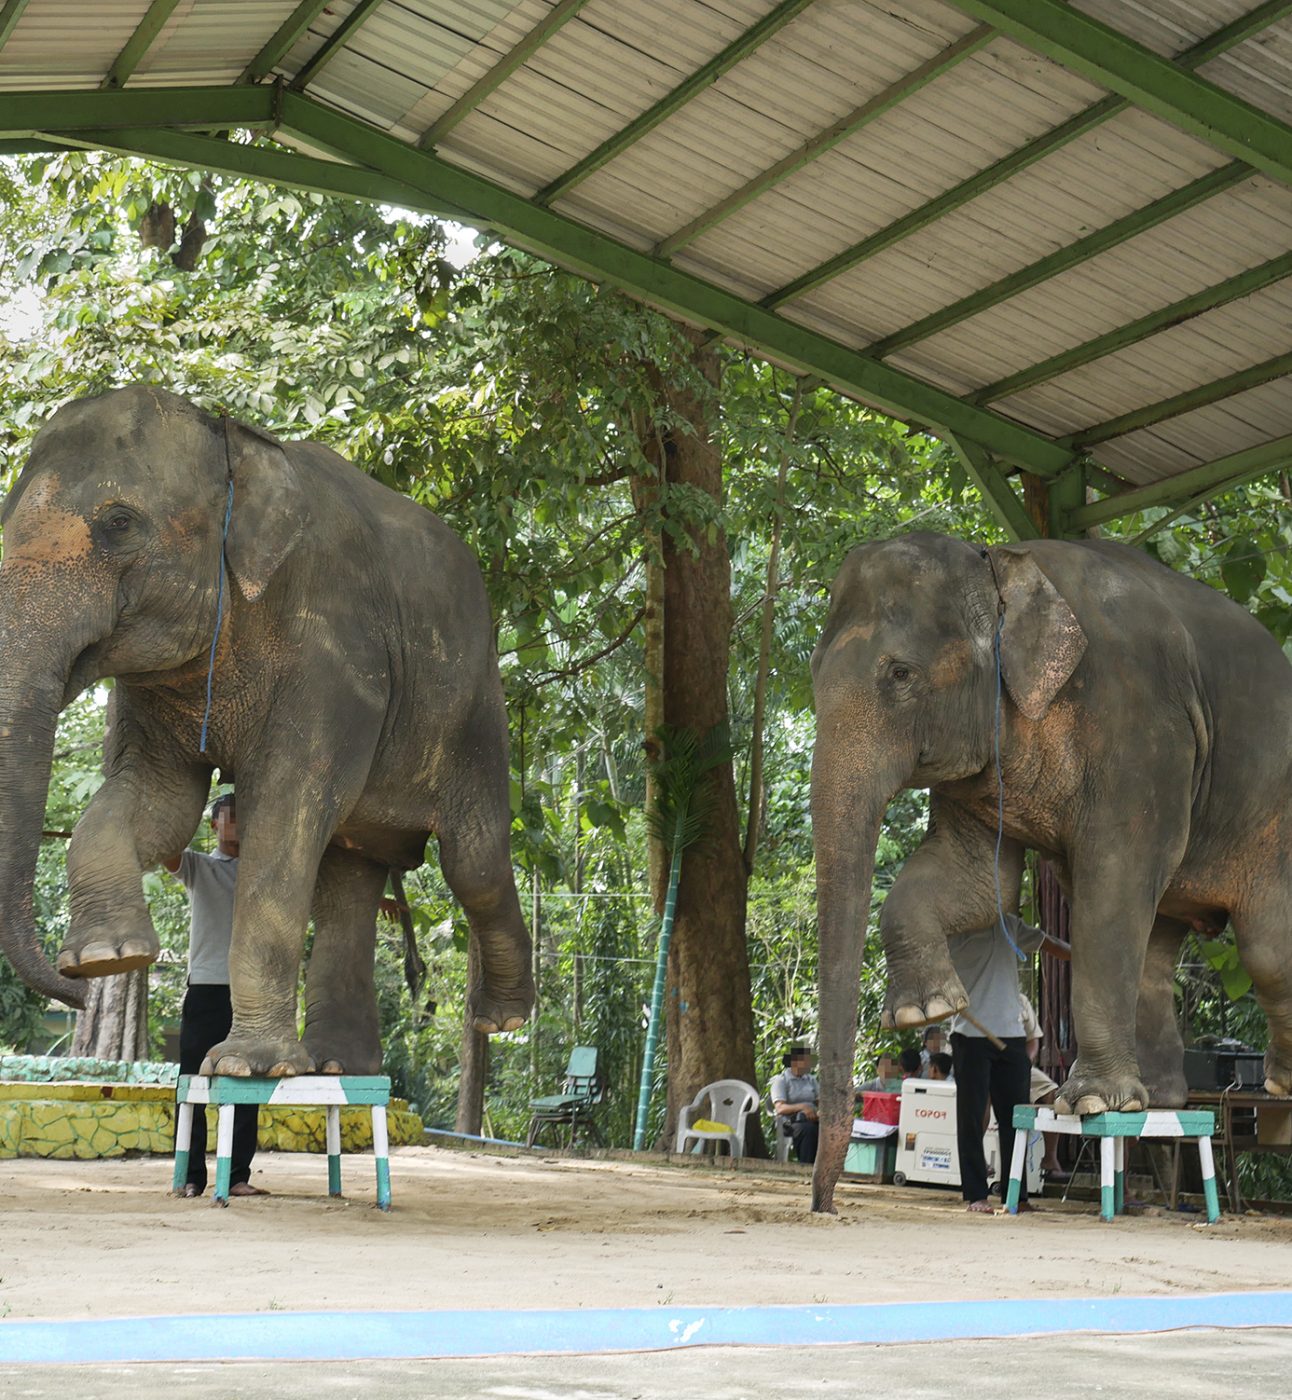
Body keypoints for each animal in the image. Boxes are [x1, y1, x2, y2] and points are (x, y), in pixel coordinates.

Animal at [0, 383, 531, 1069]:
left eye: (119, 524)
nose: (72, 994)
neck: (233, 441)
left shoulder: (336, 657)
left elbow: (284, 809)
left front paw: (248, 1065)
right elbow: (157, 801)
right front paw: (107, 956)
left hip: (476, 716)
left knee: (475, 863)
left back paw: (503, 1019)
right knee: (348, 881)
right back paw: (338, 1063)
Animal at [811, 529, 1292, 1209]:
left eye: (900, 674)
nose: (824, 1203)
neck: (1002, 563)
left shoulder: (1141, 729)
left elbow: (1112, 882)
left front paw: (1091, 1103)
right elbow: (973, 881)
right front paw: (925, 1010)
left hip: (1271, 810)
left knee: (1267, 948)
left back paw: (1271, 1086)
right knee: (1157, 953)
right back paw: (1161, 1099)